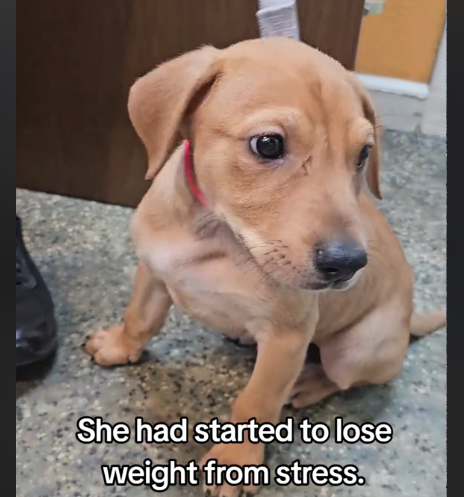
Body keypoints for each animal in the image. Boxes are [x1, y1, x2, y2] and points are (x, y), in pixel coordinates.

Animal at [86, 38, 446, 496]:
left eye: (364, 154)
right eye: (269, 145)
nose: (348, 263)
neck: (216, 233)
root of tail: (406, 323)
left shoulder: (287, 338)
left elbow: (255, 403)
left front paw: (236, 462)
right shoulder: (153, 270)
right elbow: (140, 318)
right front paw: (119, 347)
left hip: (356, 349)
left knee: (344, 376)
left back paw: (310, 381)